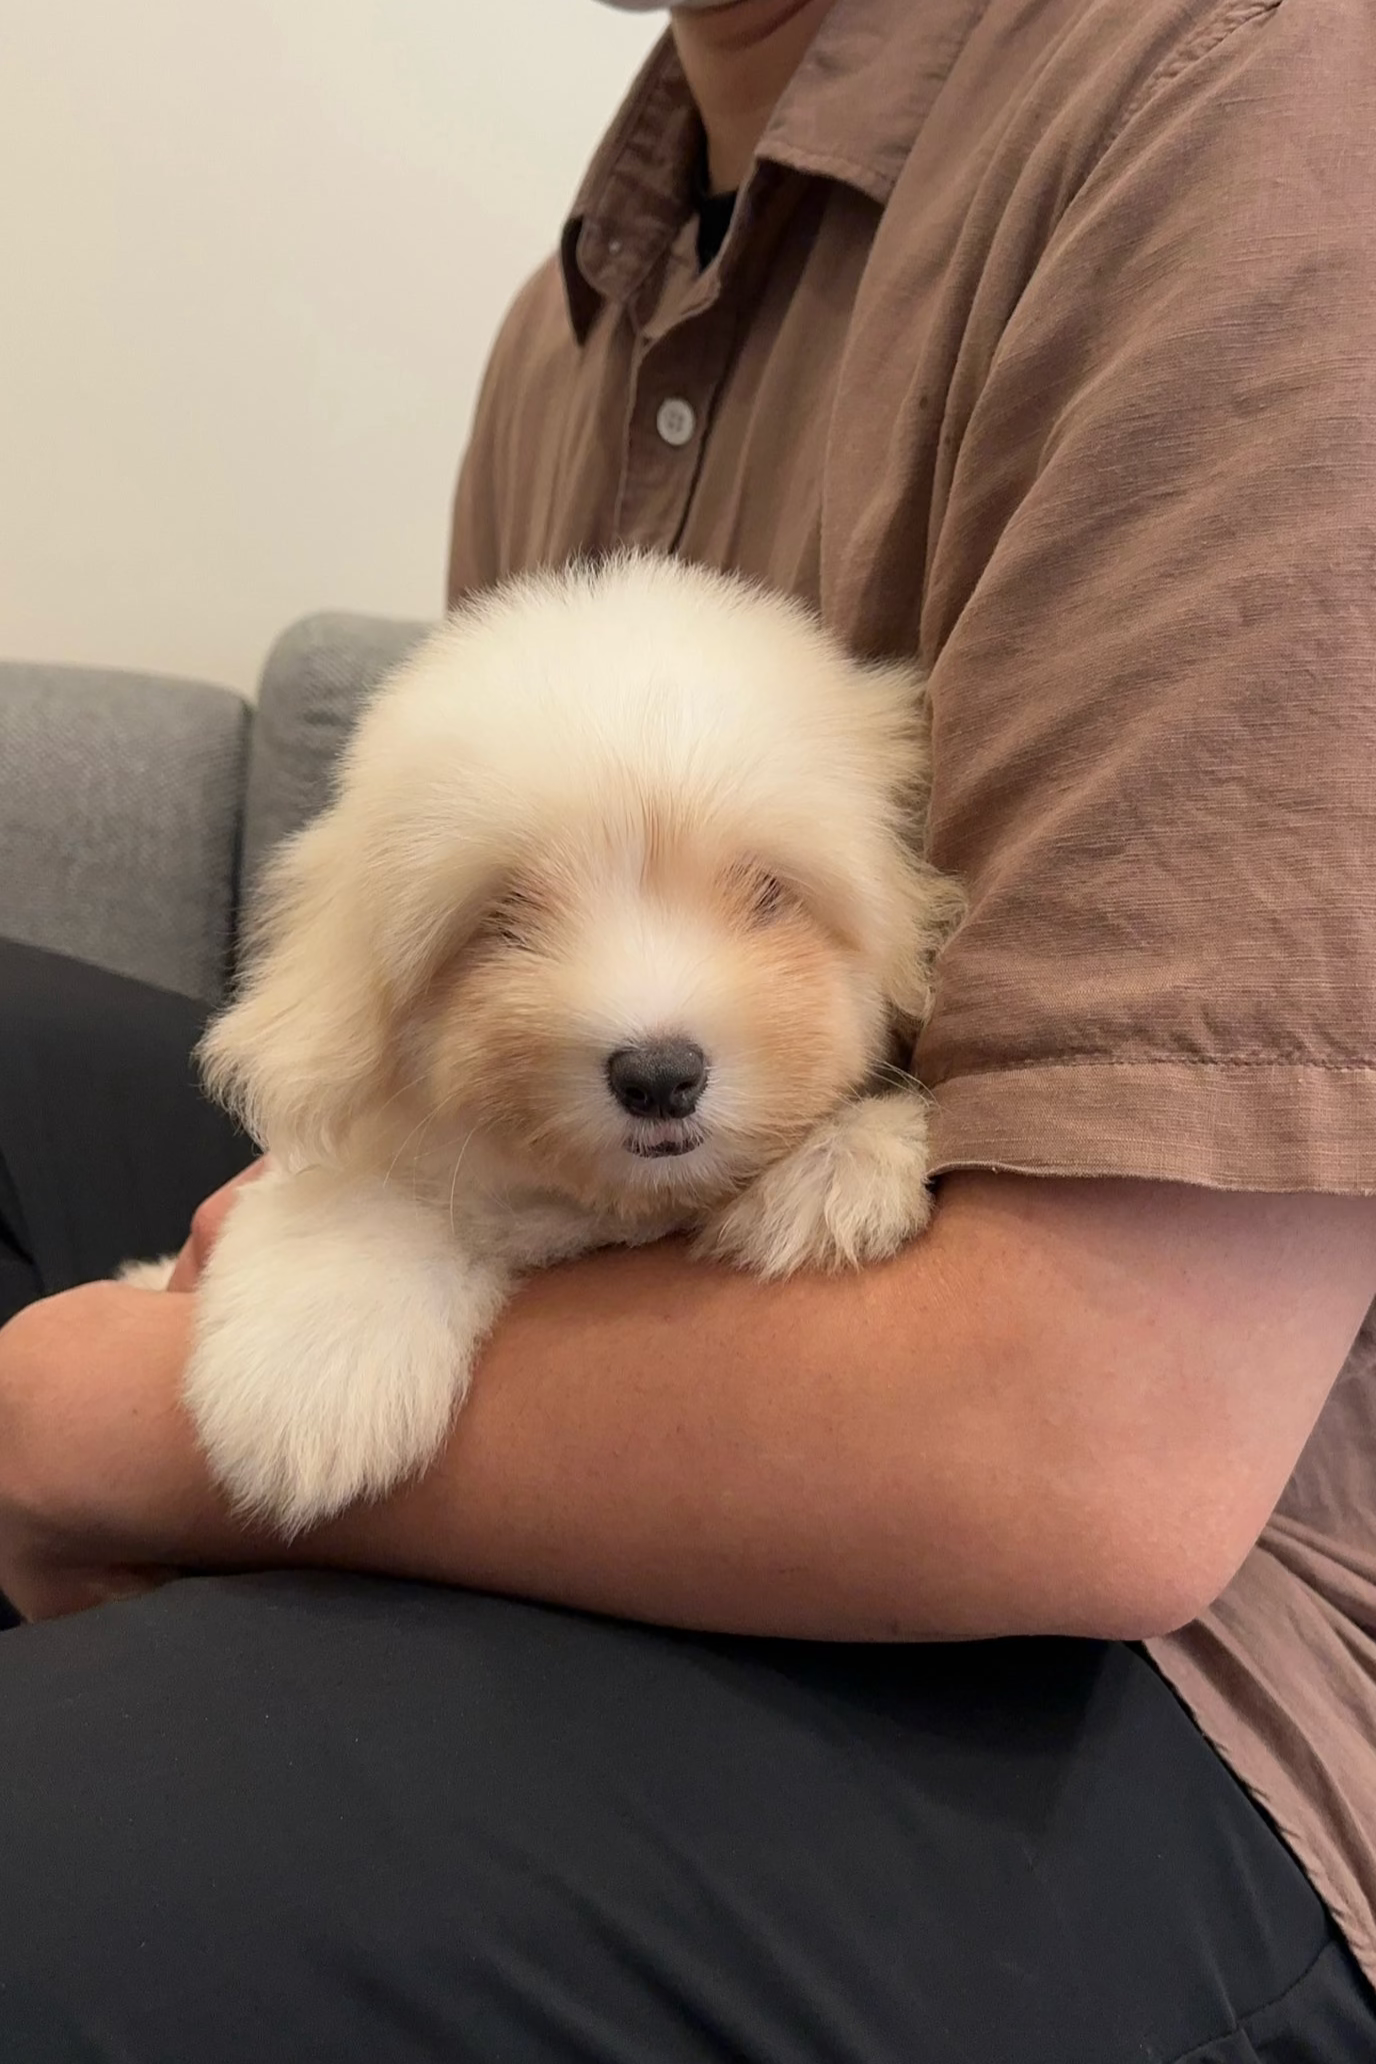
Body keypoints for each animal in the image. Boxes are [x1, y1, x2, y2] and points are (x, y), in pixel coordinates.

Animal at [180, 561, 957, 1535]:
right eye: (503, 920)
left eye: (768, 892)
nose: (659, 1076)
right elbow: (344, 1200)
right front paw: (311, 1377)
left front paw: (841, 1166)